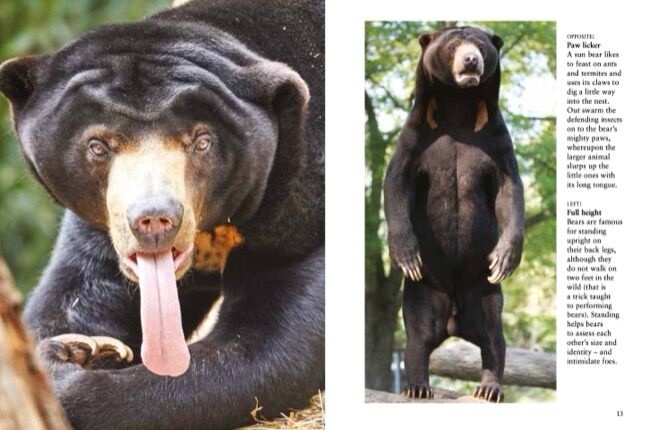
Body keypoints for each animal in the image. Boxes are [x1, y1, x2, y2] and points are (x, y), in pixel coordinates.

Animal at [0, 0, 324, 428]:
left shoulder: (299, 218)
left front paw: (70, 366)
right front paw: (84, 346)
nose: (154, 219)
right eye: (98, 146)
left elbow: (269, 344)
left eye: (202, 141)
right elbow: (75, 292)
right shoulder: (101, 225)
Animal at [383, 26, 524, 402]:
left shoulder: (495, 136)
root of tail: (454, 321)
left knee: (494, 339)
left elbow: (509, 188)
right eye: (454, 46)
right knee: (416, 339)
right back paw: (417, 386)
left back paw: (489, 388)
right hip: (423, 292)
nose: (471, 60)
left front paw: (505, 258)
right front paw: (406, 256)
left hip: (485, 292)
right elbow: (397, 183)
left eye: (480, 45)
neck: (458, 106)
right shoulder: (416, 134)